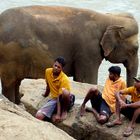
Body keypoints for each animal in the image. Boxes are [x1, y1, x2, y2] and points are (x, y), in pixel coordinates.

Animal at [0, 5, 139, 104]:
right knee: (9, 84)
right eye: (136, 48)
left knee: (16, 82)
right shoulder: (87, 50)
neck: (109, 19)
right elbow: (86, 80)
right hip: (9, 57)